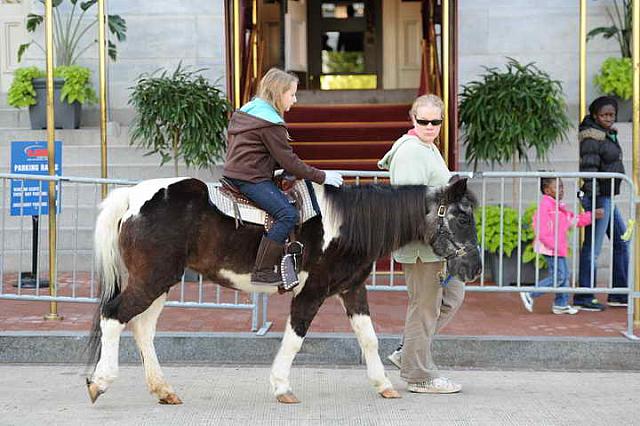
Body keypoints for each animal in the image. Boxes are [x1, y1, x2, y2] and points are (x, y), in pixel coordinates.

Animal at [86, 176, 480, 402]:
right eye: (462, 217)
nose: (475, 268)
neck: (347, 224)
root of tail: (132, 198)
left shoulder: (352, 289)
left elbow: (368, 339)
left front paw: (383, 384)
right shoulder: (312, 292)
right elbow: (295, 339)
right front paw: (282, 386)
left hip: (161, 281)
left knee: (141, 328)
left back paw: (163, 389)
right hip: (152, 279)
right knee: (113, 316)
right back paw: (101, 381)